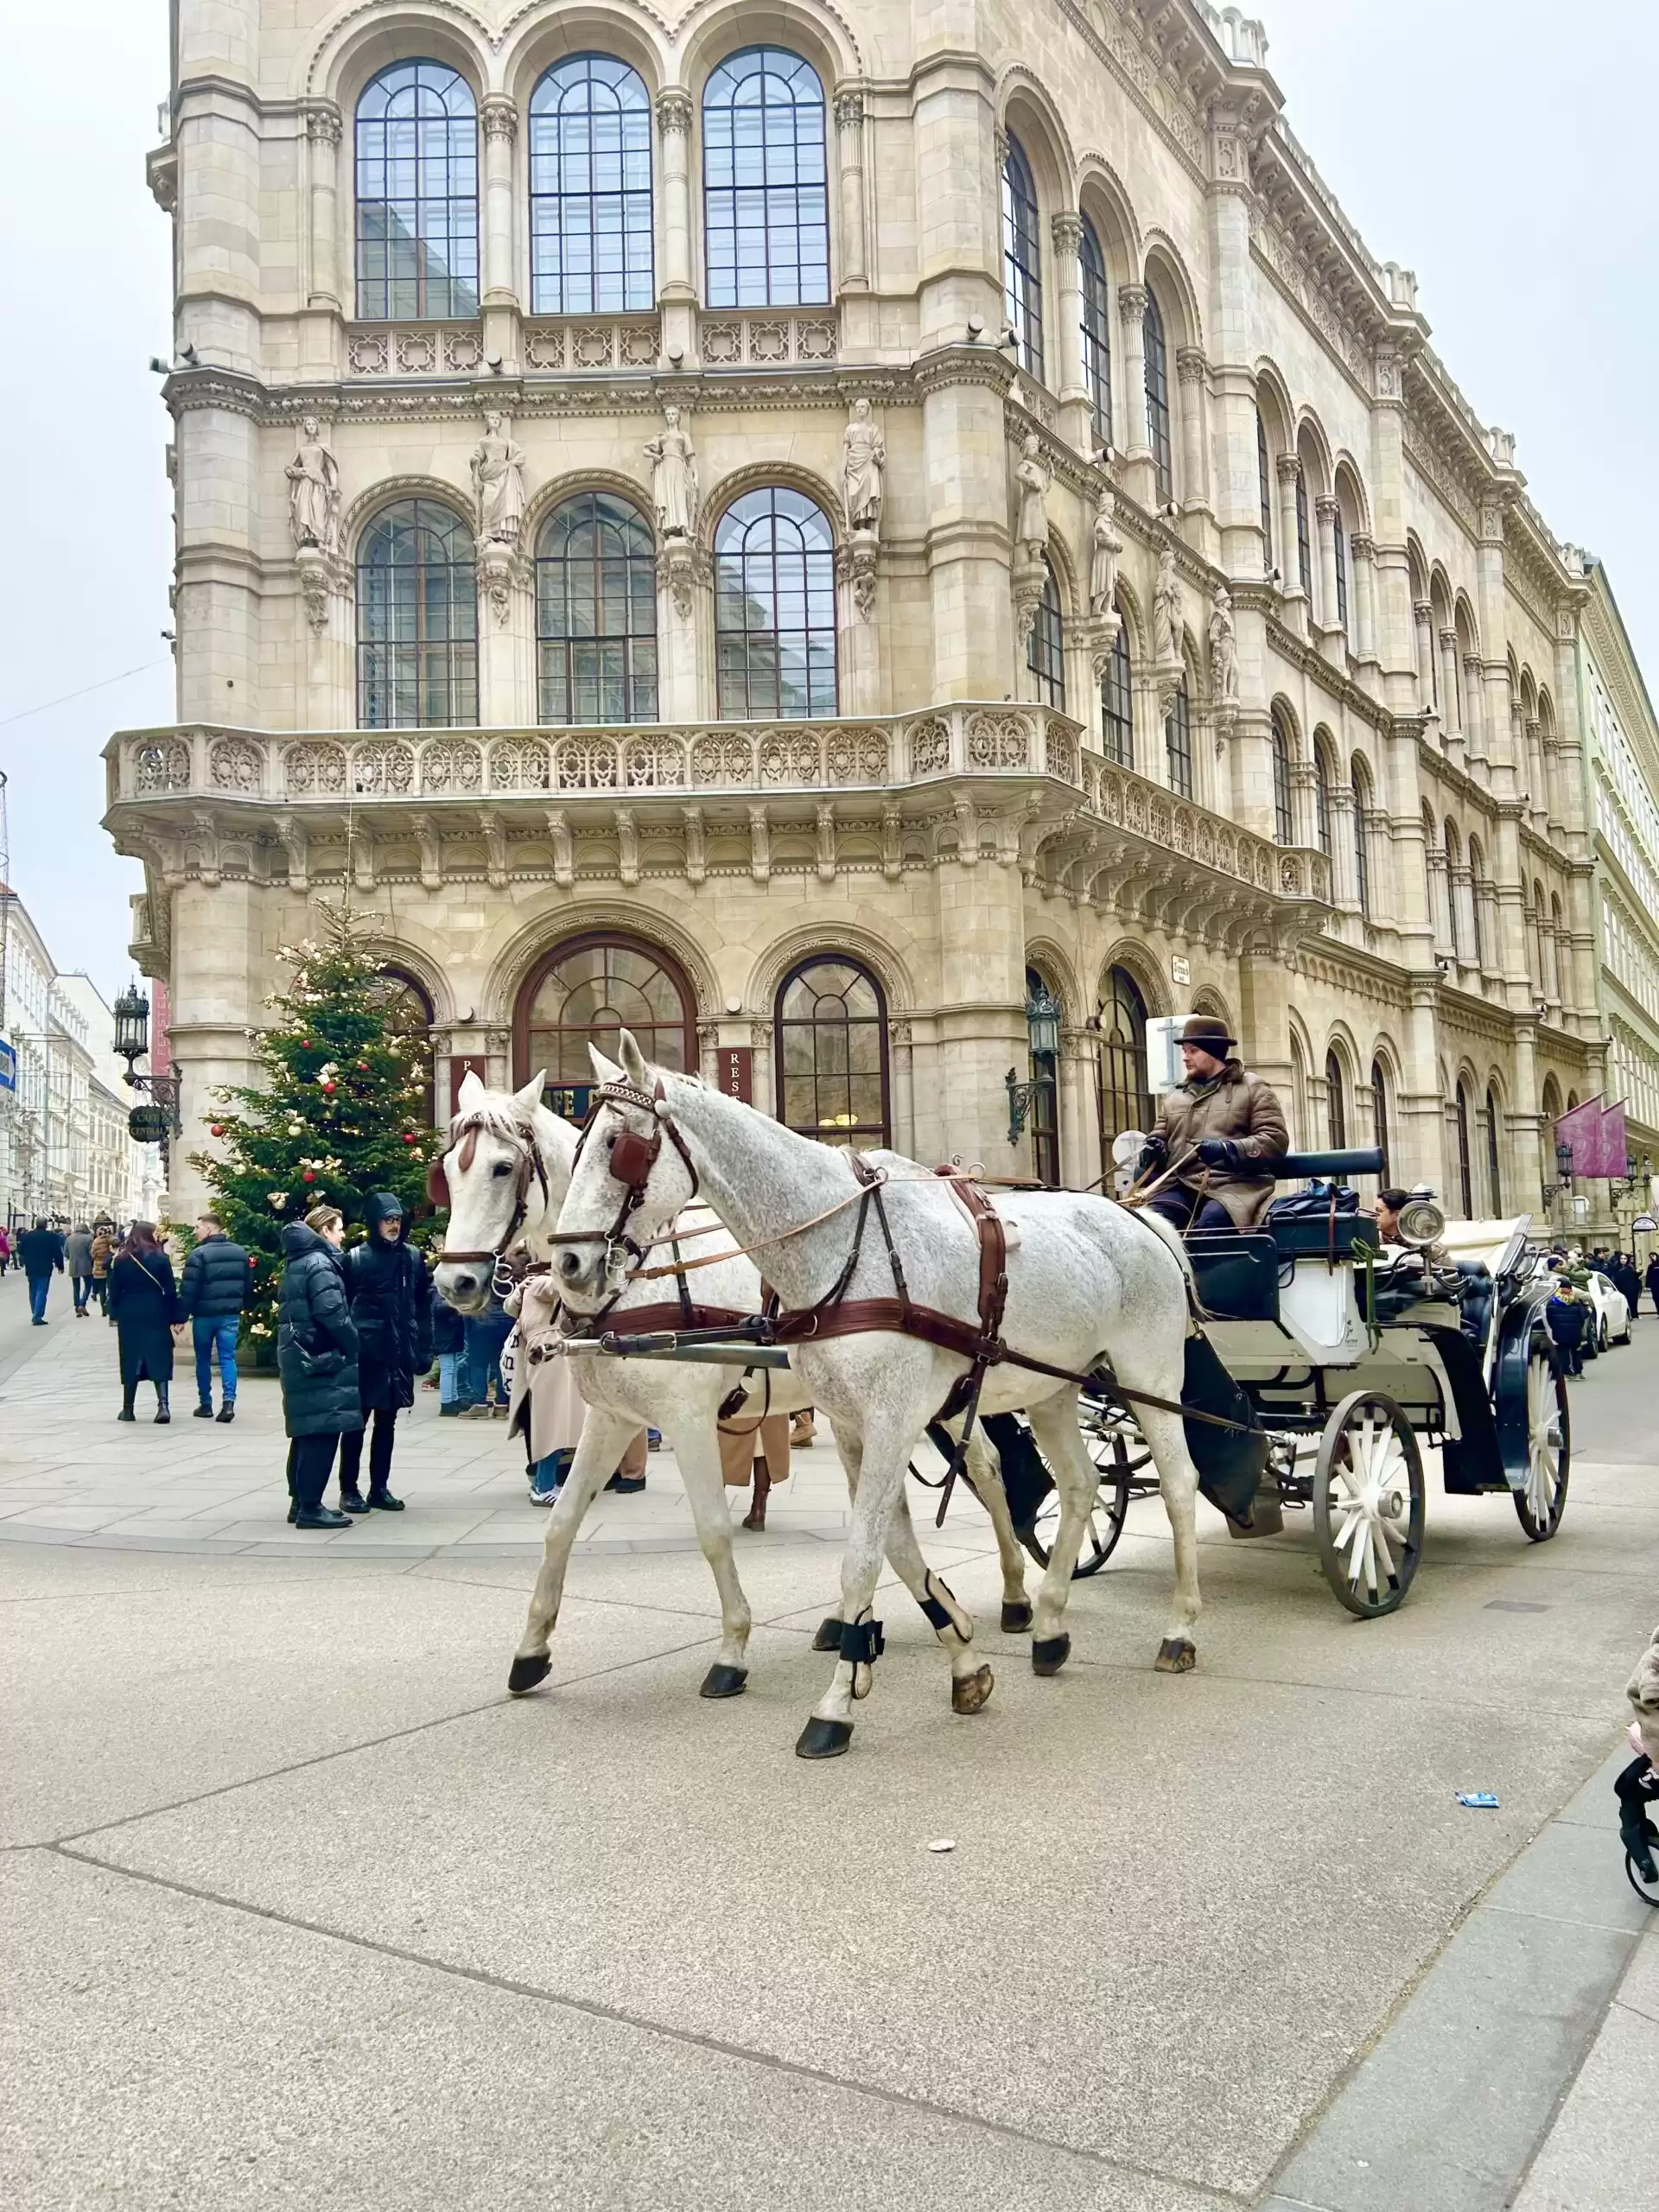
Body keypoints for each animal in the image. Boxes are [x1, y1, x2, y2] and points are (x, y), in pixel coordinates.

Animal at [431, 1075, 1026, 1707]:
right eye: (446, 1169)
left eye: (501, 1168)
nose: (454, 1282)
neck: (634, 1280)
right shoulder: (612, 1418)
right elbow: (562, 1524)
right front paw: (532, 1650)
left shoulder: (686, 1417)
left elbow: (714, 1530)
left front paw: (733, 1650)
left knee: (987, 1470)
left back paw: (1016, 1594)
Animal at [553, 1035, 1211, 1760]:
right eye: (577, 1145)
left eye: (617, 1145)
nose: (568, 1266)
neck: (842, 1250)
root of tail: (1141, 1216)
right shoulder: (851, 1424)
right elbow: (894, 1547)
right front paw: (948, 1657)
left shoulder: (892, 1418)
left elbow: (863, 1558)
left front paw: (836, 1704)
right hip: (1053, 1388)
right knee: (1080, 1484)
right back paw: (1048, 1626)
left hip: (1148, 1377)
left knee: (1179, 1484)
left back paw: (1179, 1630)